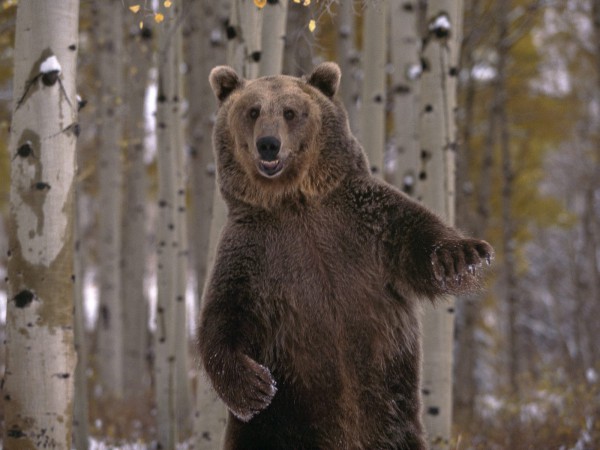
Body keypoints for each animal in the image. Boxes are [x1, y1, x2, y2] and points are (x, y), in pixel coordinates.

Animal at [199, 60, 494, 450]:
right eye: (252, 111)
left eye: (290, 112)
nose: (268, 144)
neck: (295, 201)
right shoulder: (252, 254)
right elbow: (222, 317)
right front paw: (255, 387)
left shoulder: (365, 224)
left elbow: (416, 234)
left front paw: (462, 256)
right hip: (276, 427)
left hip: (392, 417)